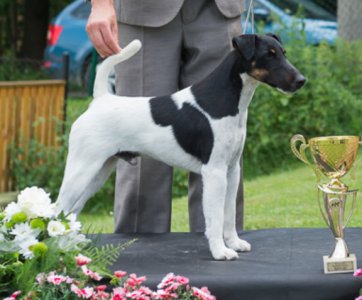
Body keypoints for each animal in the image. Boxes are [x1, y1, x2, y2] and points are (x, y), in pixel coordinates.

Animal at [56, 34, 306, 260]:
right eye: (268, 55)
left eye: (283, 52)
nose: (301, 80)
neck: (226, 99)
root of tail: (100, 100)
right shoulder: (214, 172)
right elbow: (215, 217)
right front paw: (221, 252)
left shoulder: (232, 170)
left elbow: (229, 214)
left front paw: (234, 243)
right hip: (82, 169)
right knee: (59, 208)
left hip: (98, 173)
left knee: (72, 211)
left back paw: (72, 245)